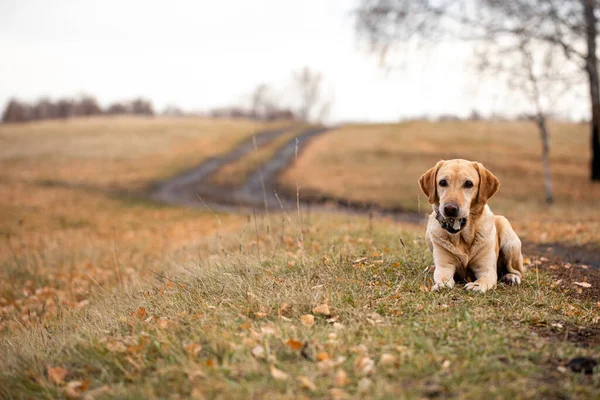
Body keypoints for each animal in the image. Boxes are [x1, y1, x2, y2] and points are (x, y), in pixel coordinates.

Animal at [420, 159, 524, 294]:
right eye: (442, 182)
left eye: (468, 184)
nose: (450, 209)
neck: (462, 238)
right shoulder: (445, 266)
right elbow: (443, 277)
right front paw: (441, 285)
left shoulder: (486, 270)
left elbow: (484, 279)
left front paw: (476, 285)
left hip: (509, 238)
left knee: (516, 270)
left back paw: (511, 277)